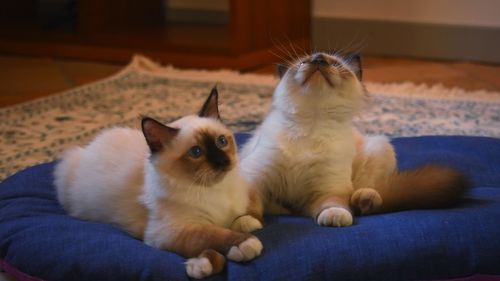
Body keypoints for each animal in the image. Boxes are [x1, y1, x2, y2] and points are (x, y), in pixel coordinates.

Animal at [54, 87, 264, 278]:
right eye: (196, 152)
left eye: (221, 141)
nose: (223, 162)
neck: (216, 189)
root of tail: (89, 145)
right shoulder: (169, 233)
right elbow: (212, 235)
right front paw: (217, 257)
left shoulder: (245, 195)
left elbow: (248, 214)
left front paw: (247, 223)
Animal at [240, 50, 470, 225]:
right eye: (304, 62)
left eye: (334, 64)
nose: (318, 59)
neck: (312, 124)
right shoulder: (256, 178)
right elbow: (249, 204)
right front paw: (248, 224)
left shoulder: (329, 188)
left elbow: (334, 205)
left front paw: (335, 217)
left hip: (378, 147)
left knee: (366, 196)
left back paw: (364, 199)